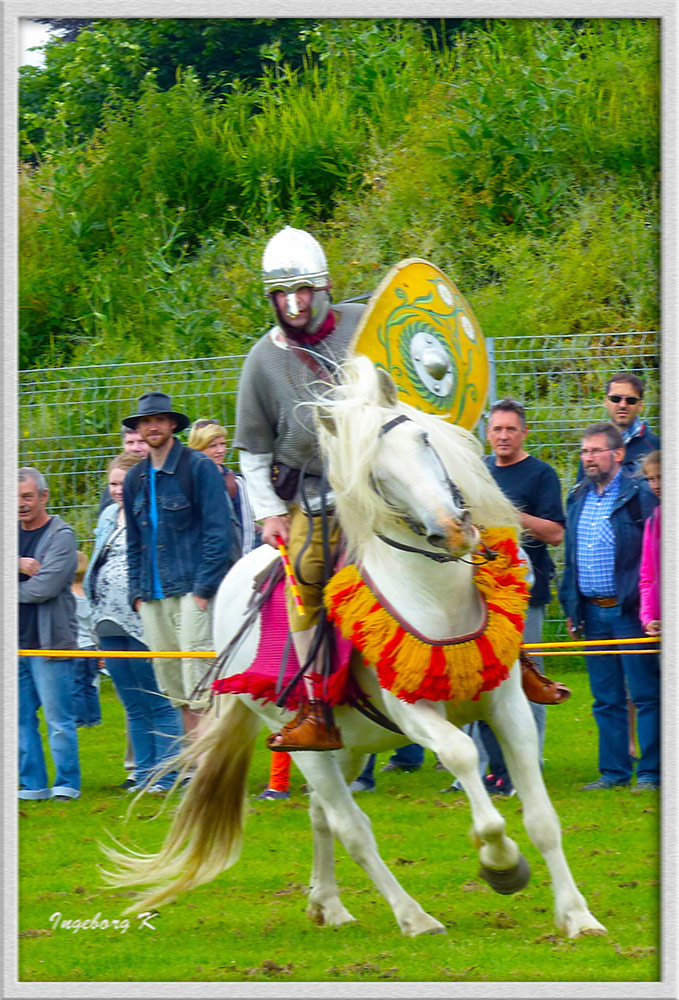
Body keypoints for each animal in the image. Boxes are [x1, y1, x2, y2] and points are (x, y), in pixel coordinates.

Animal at [105, 358, 604, 936]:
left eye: (424, 439)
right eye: (375, 474)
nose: (454, 529)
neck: (437, 598)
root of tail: (234, 581)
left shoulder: (508, 705)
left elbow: (543, 818)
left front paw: (577, 915)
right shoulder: (415, 711)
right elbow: (461, 754)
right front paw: (501, 864)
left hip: (344, 746)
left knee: (323, 817)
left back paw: (329, 904)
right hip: (304, 745)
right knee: (352, 827)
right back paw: (413, 916)